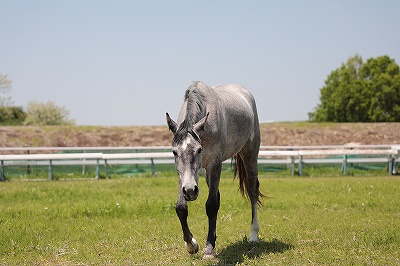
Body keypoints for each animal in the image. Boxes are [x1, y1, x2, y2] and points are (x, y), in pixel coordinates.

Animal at [166, 80, 262, 258]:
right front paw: (191, 244)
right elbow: (181, 208)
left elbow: (211, 205)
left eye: (199, 150)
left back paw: (253, 235)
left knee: (252, 192)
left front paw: (209, 249)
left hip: (250, 156)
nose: (190, 191)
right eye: (175, 152)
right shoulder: (186, 175)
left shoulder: (215, 165)